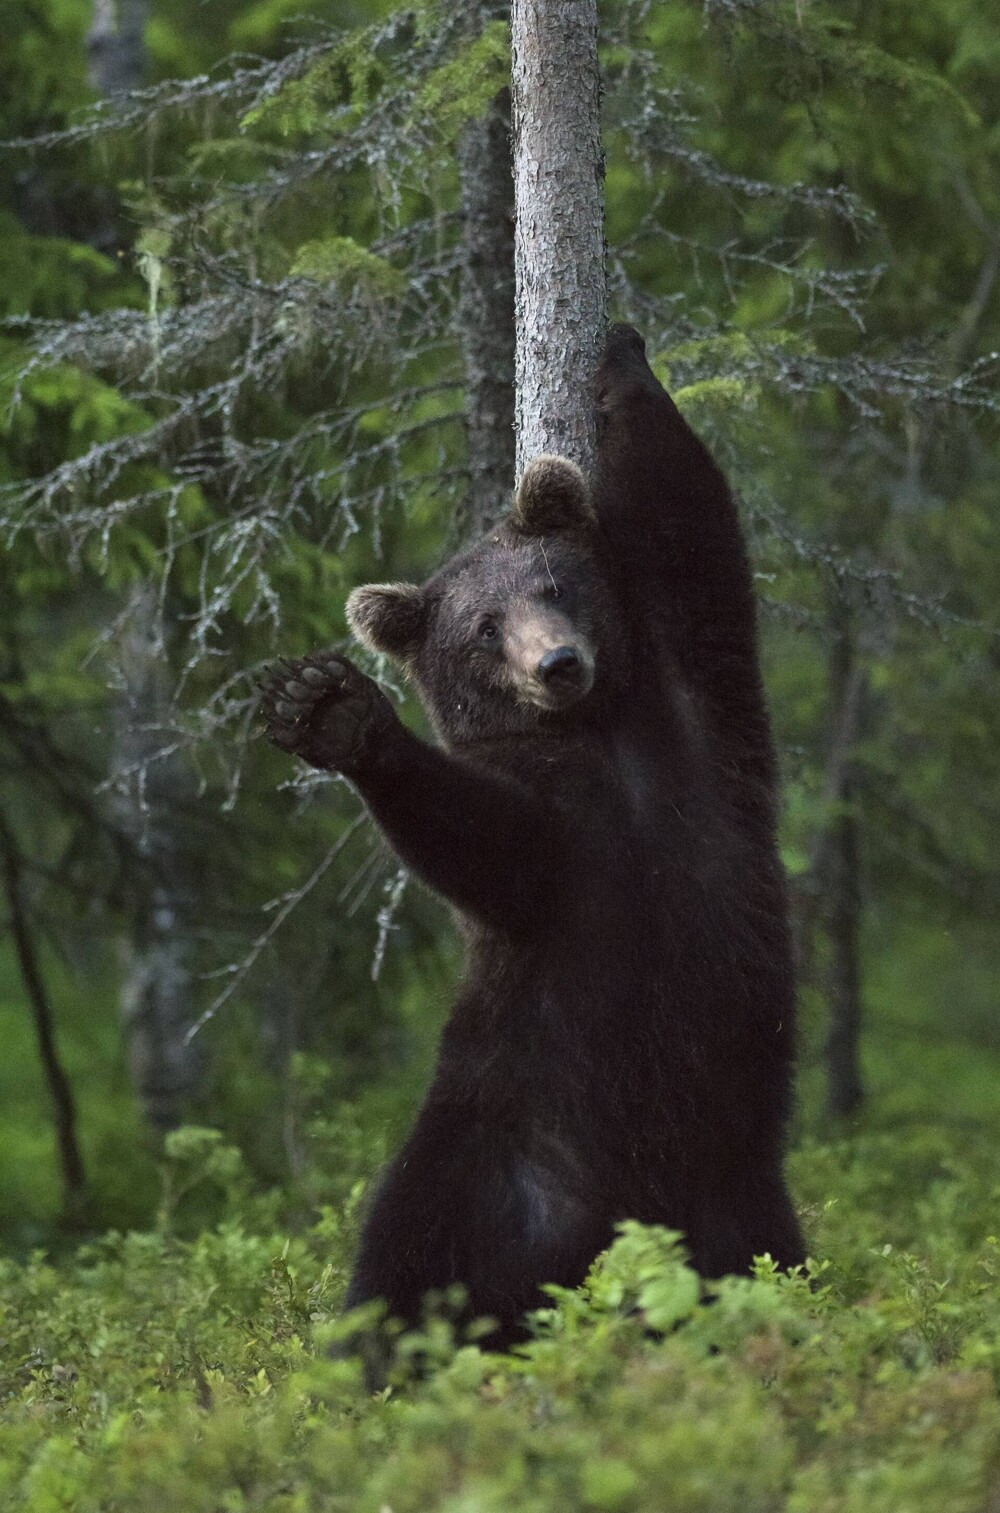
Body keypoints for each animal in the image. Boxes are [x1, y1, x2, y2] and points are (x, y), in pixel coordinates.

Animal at [261, 331, 798, 1373]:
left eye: (553, 585)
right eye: (482, 627)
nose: (558, 664)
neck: (601, 733)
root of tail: (617, 1235)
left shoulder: (700, 705)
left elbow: (689, 514)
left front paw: (622, 361)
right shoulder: (560, 843)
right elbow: (479, 838)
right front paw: (331, 710)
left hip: (740, 1178)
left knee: (775, 1262)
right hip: (497, 1142)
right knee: (408, 1261)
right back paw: (374, 1364)